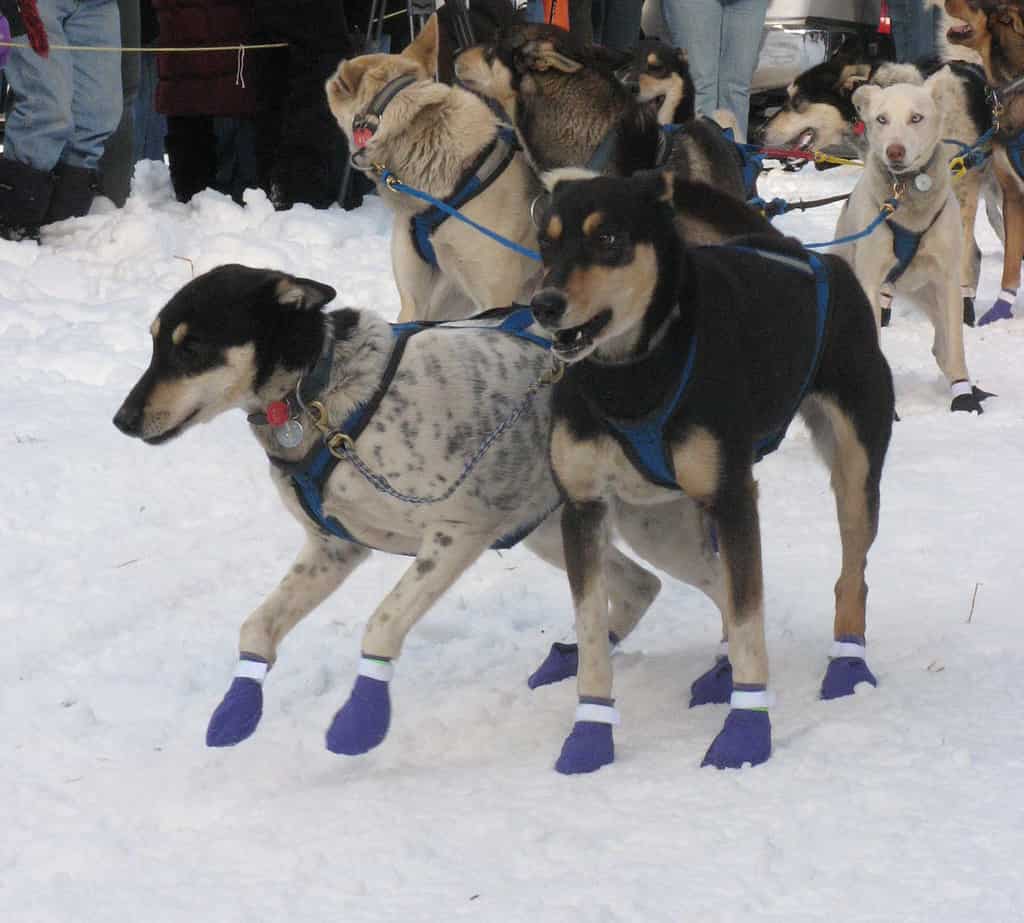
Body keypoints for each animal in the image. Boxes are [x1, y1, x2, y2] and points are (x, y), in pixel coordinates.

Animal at [532, 171, 892, 770]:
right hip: (677, 513)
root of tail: (807, 255)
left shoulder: (733, 497)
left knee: (853, 574)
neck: (632, 376)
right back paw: (720, 671)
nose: (544, 304)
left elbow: (749, 623)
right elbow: (591, 631)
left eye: (608, 239)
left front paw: (745, 733)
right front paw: (590, 735)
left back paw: (847, 665)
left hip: (854, 471)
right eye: (546, 242)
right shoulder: (583, 509)